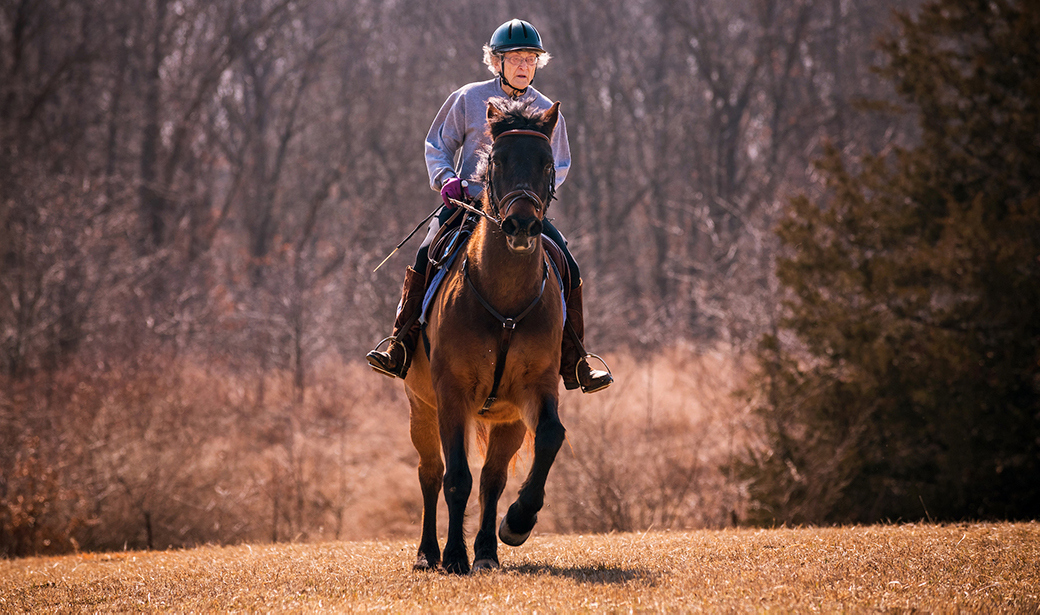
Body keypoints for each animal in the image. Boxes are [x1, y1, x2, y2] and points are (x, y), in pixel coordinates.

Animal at [403, 98, 569, 574]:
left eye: (547, 162)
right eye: (497, 159)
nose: (521, 226)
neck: (505, 301)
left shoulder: (535, 388)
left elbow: (550, 436)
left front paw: (517, 523)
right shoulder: (451, 394)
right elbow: (456, 477)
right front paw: (454, 557)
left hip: (505, 419)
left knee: (492, 479)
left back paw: (487, 553)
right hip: (420, 408)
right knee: (430, 474)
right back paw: (429, 553)